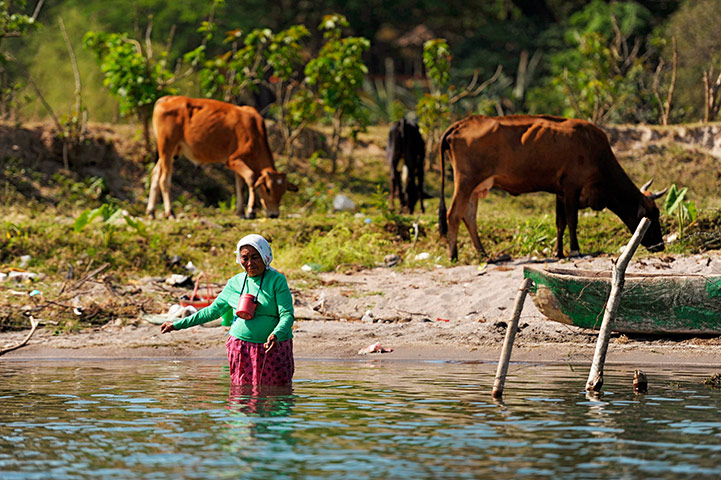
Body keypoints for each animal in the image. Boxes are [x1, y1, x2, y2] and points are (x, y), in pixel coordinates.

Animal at [146, 94, 296, 218]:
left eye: (282, 192)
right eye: (268, 189)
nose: (274, 214)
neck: (254, 132)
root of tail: (166, 99)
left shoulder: (240, 164)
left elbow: (240, 186)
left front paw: (240, 212)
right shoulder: (232, 160)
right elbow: (251, 178)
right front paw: (250, 211)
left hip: (170, 152)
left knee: (155, 174)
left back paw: (151, 212)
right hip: (167, 147)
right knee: (164, 179)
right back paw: (170, 213)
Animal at [436, 115, 668, 260]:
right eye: (651, 215)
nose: (660, 246)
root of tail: (463, 123)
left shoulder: (560, 192)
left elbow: (560, 223)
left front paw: (559, 252)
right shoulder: (572, 187)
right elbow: (572, 221)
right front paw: (575, 250)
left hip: (476, 187)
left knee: (469, 216)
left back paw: (483, 254)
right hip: (465, 181)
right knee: (453, 214)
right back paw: (453, 255)